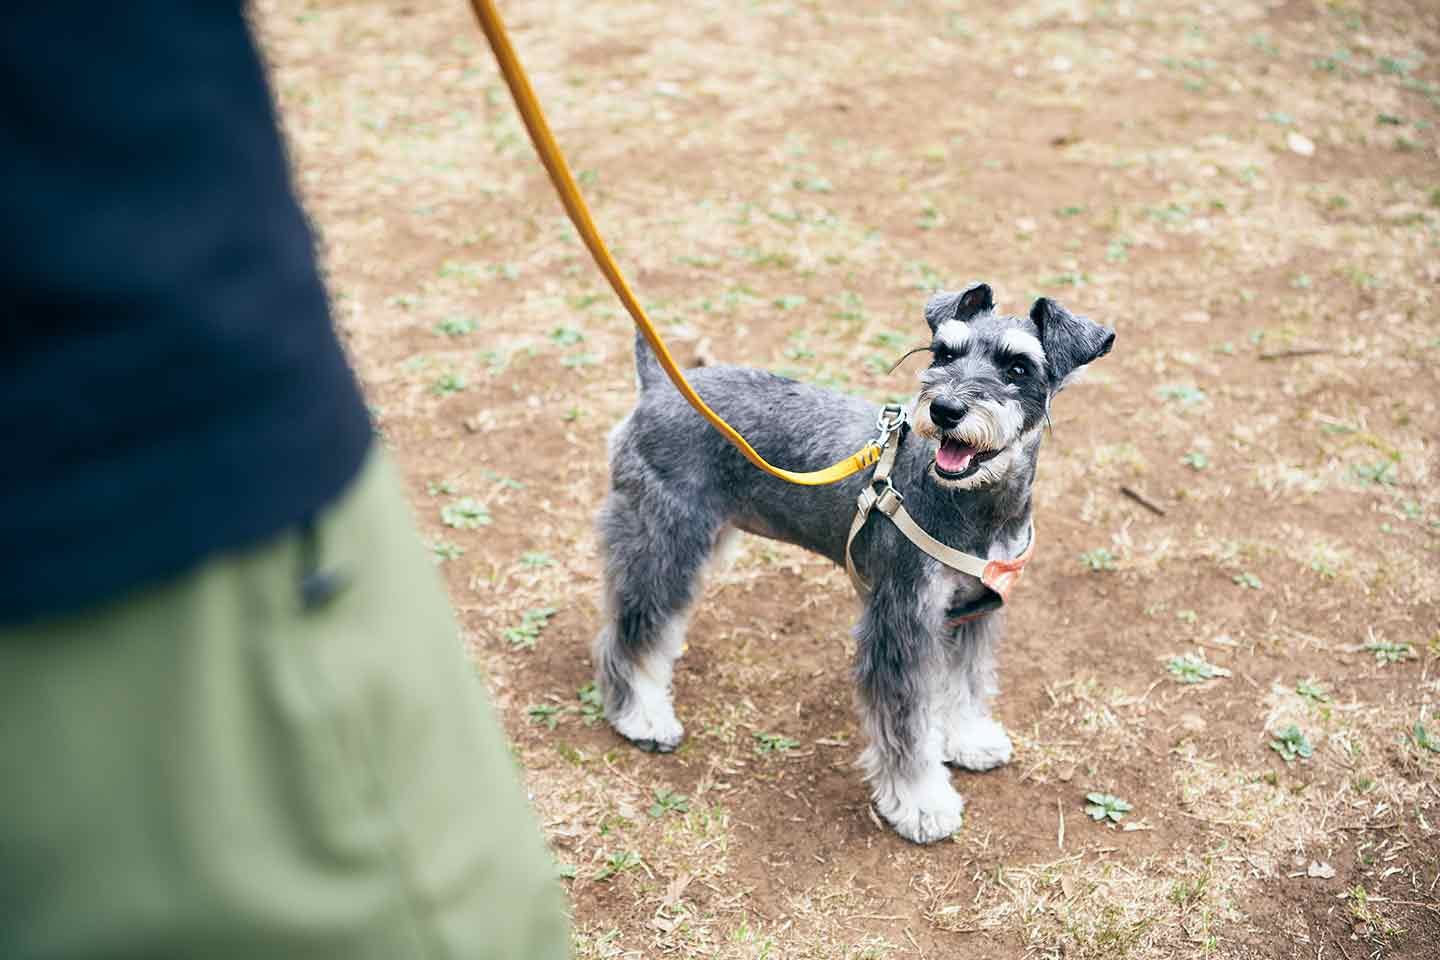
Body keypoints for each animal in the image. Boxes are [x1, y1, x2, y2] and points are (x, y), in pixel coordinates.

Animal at [590, 283, 1117, 840]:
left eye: (1018, 366)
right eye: (944, 354)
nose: (946, 409)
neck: (977, 505)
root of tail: (658, 387)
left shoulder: (970, 613)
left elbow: (965, 685)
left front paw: (968, 739)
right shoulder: (903, 620)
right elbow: (908, 723)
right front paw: (922, 802)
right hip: (665, 541)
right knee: (634, 627)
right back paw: (642, 715)